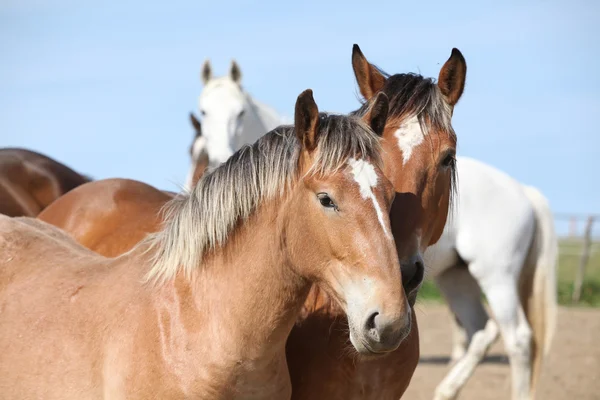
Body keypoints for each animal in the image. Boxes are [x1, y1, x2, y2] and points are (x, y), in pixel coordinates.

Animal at [422, 155, 556, 400]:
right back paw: (446, 390)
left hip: (497, 279)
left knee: (517, 339)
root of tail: (524, 190)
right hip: (455, 279)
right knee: (481, 331)